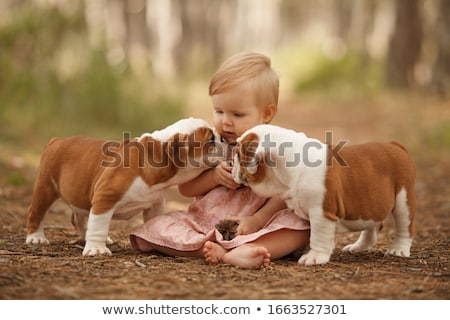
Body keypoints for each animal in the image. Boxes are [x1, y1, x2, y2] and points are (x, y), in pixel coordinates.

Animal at [26, 119, 216, 256]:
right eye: (211, 140)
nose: (222, 138)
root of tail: (57, 140)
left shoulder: (155, 204)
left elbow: (154, 221)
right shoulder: (105, 198)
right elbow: (99, 225)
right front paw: (96, 249)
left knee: (79, 217)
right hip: (46, 187)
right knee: (36, 212)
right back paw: (36, 238)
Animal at [234, 124, 416, 266]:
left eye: (237, 153)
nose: (231, 163)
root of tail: (394, 145)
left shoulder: (321, 212)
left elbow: (318, 235)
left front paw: (314, 257)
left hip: (403, 200)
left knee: (405, 226)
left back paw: (398, 249)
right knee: (372, 226)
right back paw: (357, 247)